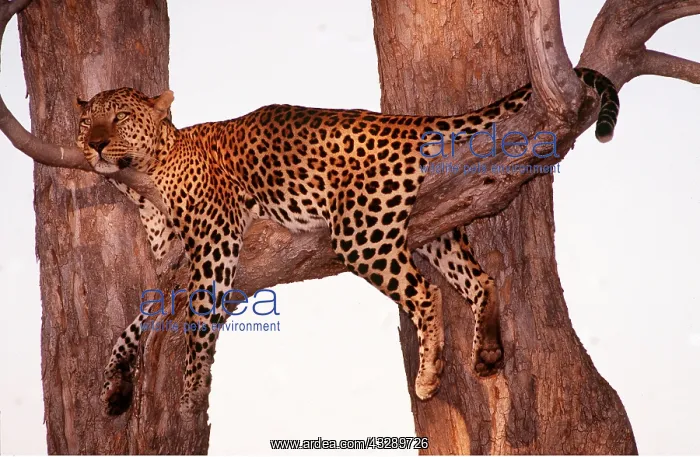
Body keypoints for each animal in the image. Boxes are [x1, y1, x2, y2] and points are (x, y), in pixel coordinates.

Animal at [75, 67, 619, 417]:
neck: (143, 182)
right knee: (479, 279)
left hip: (361, 232)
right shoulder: (170, 271)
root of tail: (403, 121)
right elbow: (131, 325)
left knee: (427, 292)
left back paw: (430, 375)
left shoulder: (212, 248)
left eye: (119, 119)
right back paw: (485, 351)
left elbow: (198, 324)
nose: (94, 144)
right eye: (87, 121)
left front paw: (192, 394)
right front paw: (113, 386)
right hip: (433, 222)